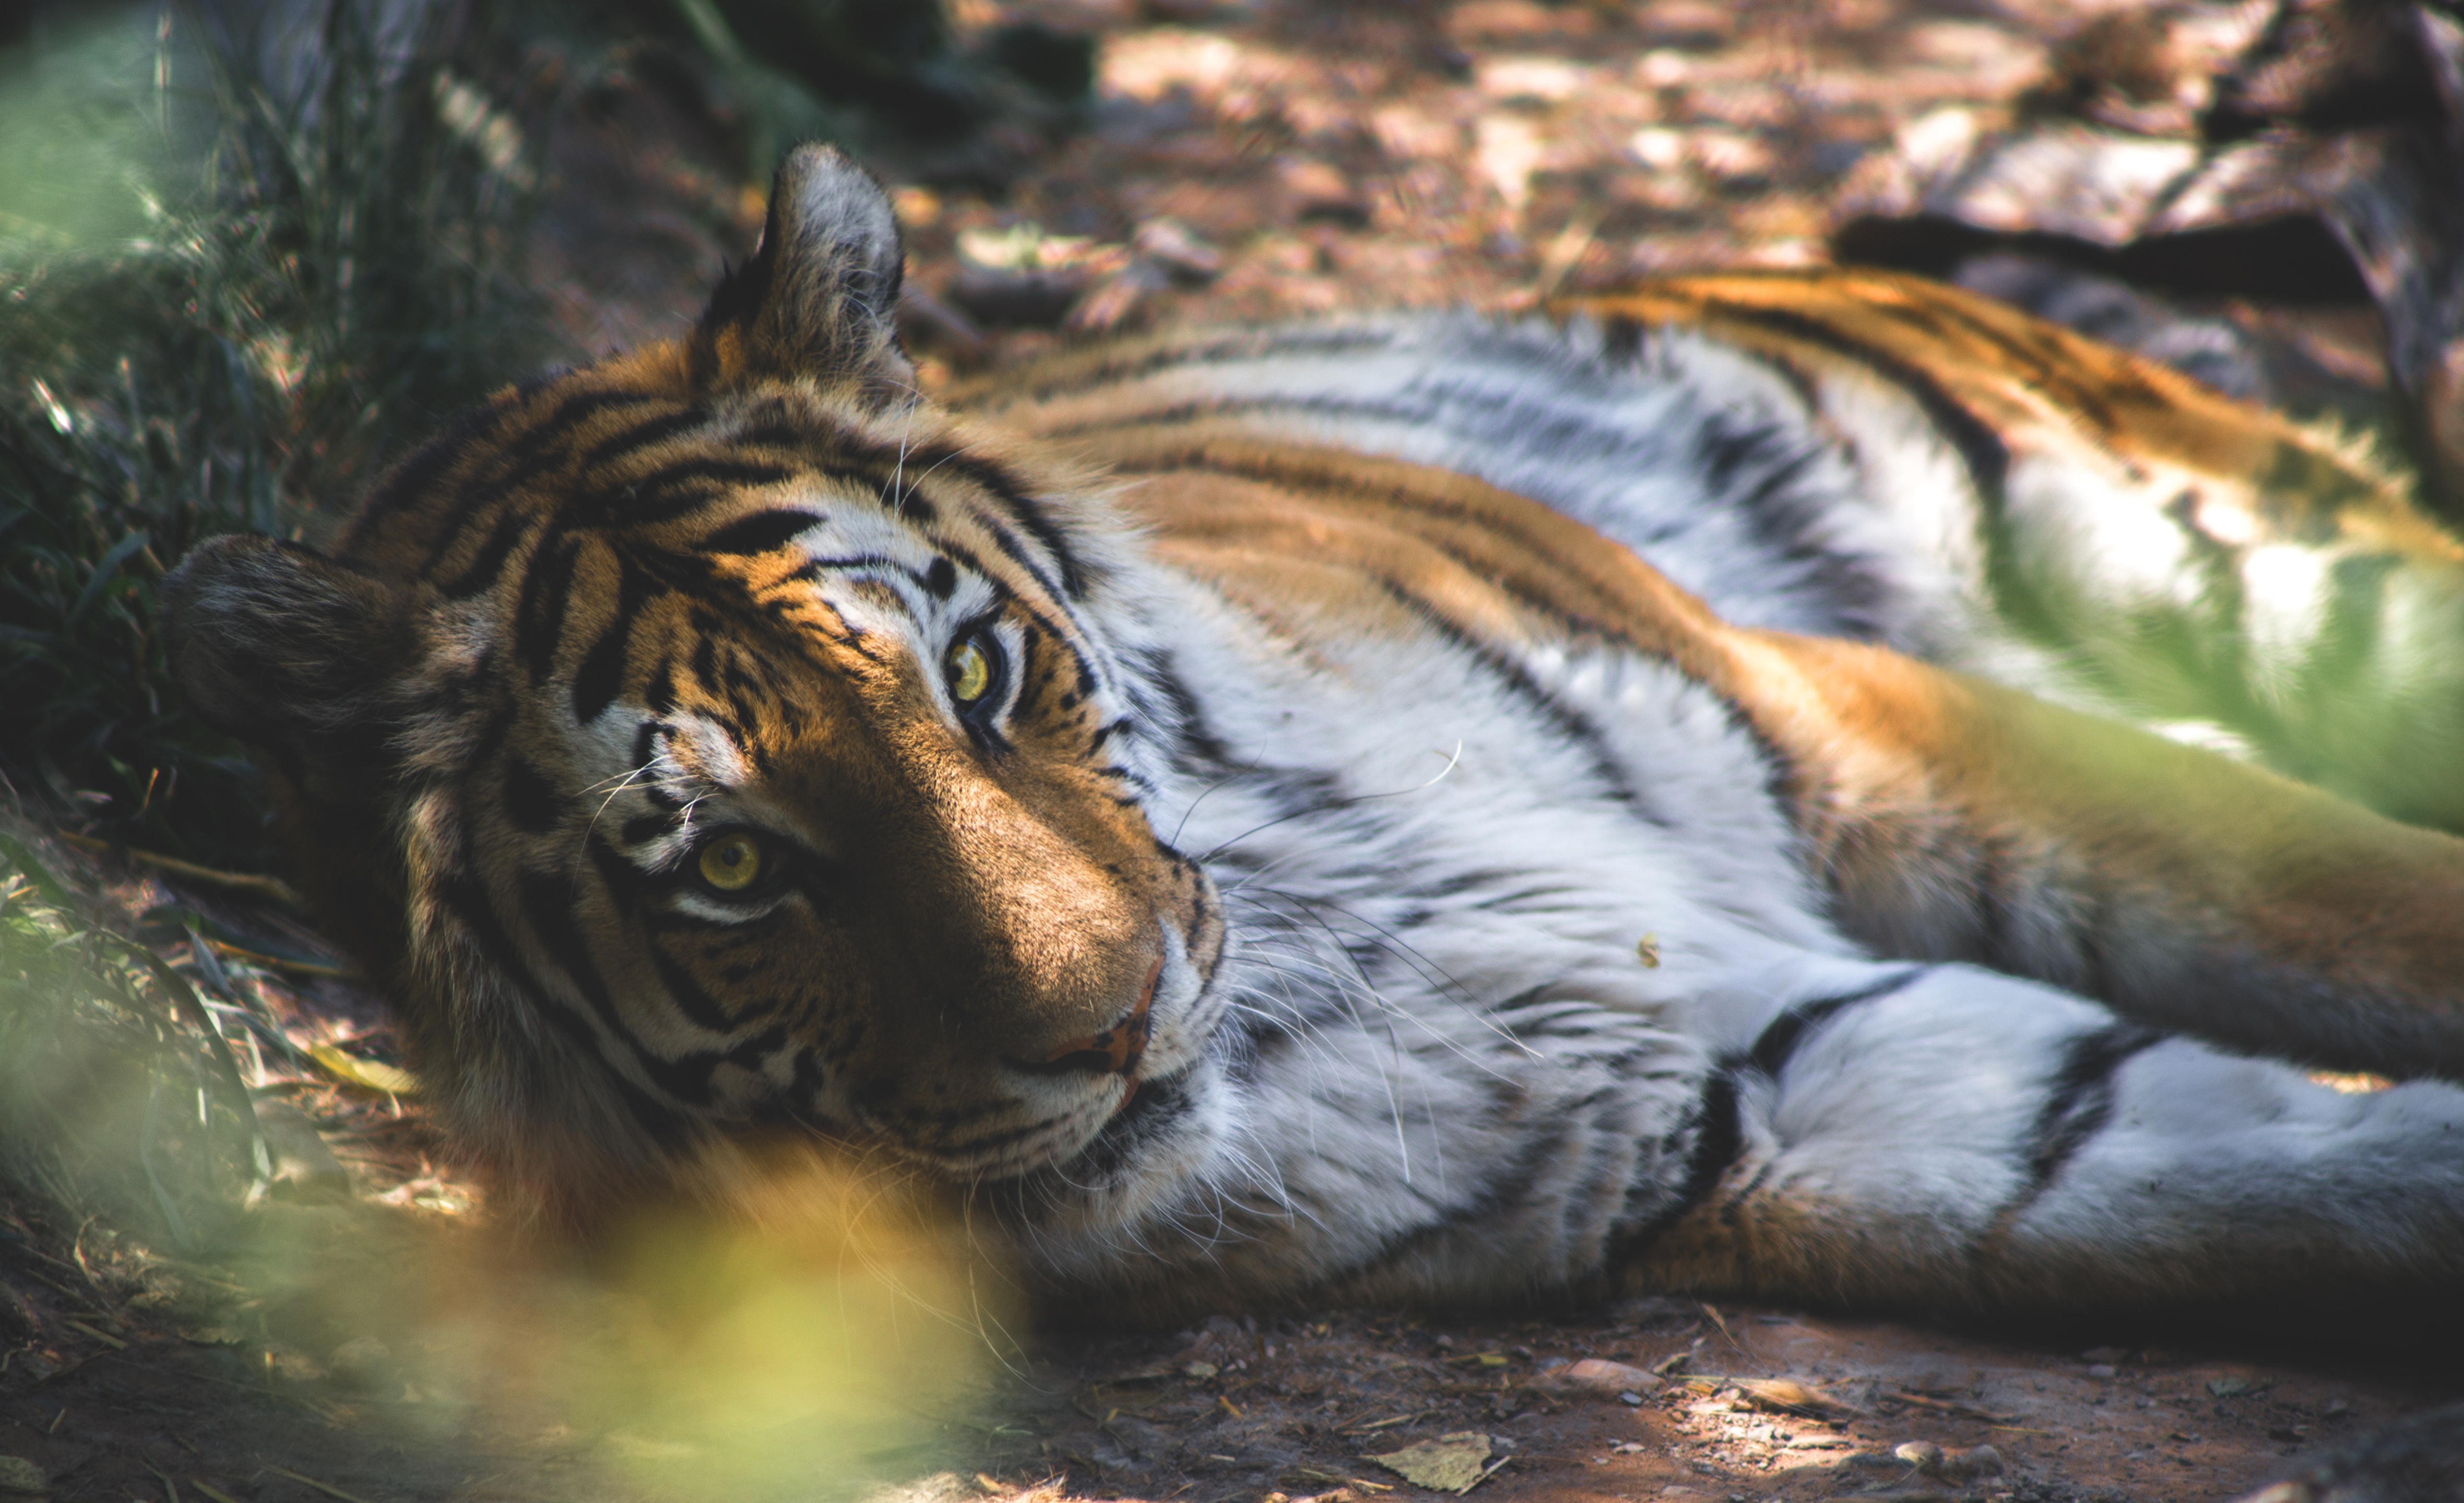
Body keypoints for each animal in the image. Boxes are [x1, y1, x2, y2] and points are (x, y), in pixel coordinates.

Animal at [163, 140, 2464, 1340]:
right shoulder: (1767, 1095)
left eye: (971, 676)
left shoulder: (1845, 728)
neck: (1314, 921)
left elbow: (2363, 904)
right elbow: (2273, 1173)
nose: (1108, 1027)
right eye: (731, 864)